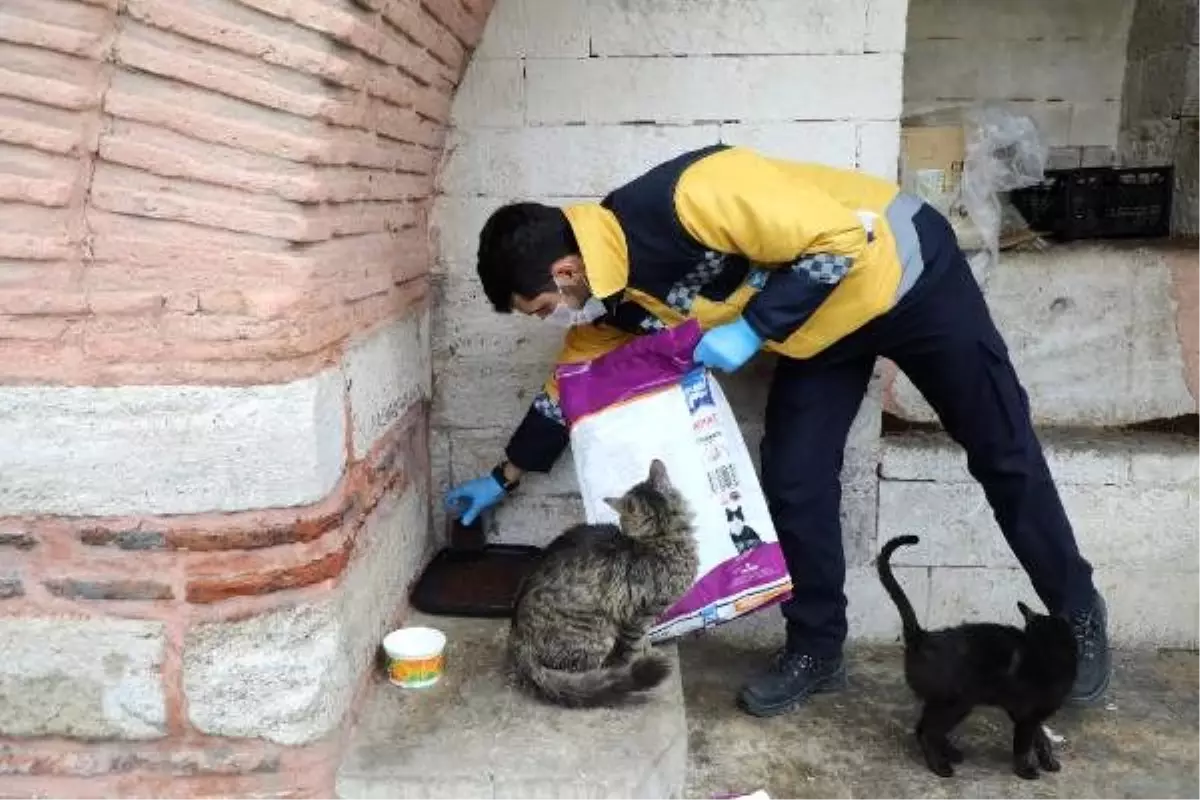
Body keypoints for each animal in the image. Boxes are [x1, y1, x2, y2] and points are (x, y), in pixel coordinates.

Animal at [873, 534, 1080, 777]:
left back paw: (950, 753)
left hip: (942, 701)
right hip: (957, 701)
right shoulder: (1026, 714)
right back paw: (940, 766)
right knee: (928, 730)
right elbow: (1023, 744)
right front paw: (1025, 770)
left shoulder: (1032, 714)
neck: (1045, 653)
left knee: (923, 726)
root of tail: (921, 636)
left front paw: (1048, 761)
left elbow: (1041, 738)